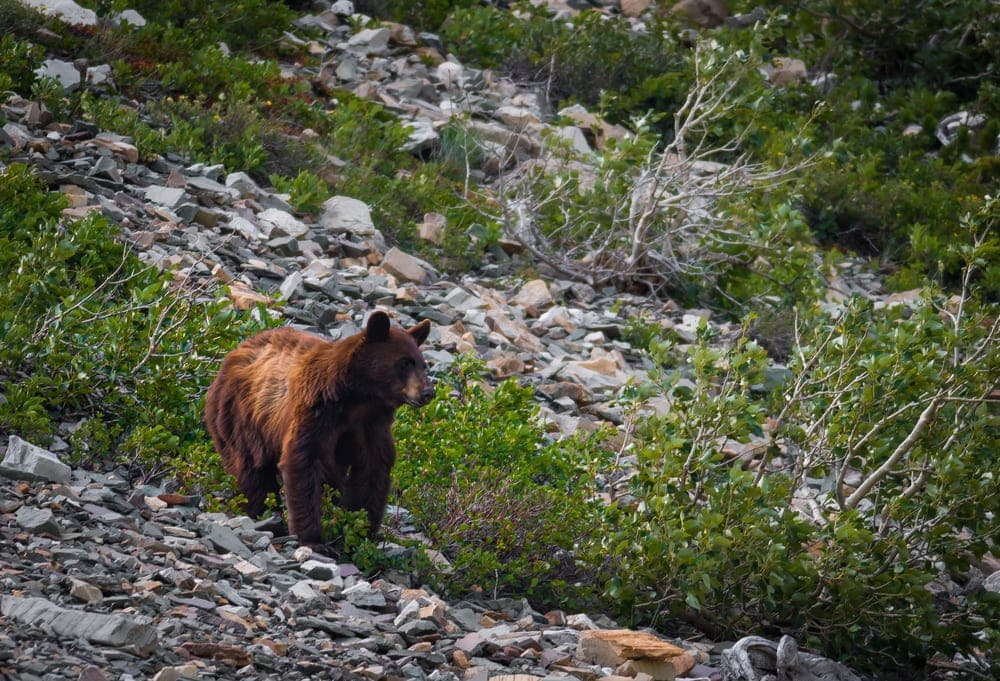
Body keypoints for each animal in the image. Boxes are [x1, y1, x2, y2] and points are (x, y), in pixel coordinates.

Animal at [204, 311, 434, 547]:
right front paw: (313, 537)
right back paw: (262, 513)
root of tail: (233, 353)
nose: (428, 392)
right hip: (239, 418)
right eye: (404, 362)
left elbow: (373, 468)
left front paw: (361, 529)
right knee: (252, 471)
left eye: (423, 365)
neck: (358, 399)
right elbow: (303, 461)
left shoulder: (371, 425)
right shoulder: (316, 411)